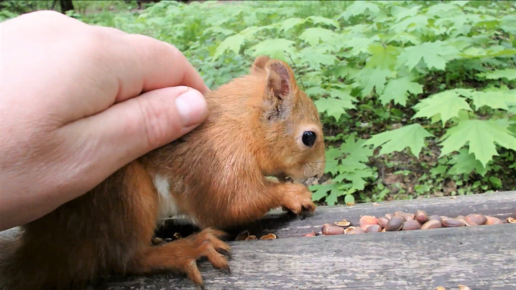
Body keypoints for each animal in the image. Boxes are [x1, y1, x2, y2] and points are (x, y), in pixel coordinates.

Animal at [0, 55, 324, 288]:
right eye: (309, 137)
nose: (319, 175)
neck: (242, 125)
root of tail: (44, 248)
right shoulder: (220, 158)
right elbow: (231, 204)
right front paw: (294, 194)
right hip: (125, 193)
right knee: (124, 258)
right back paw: (187, 248)